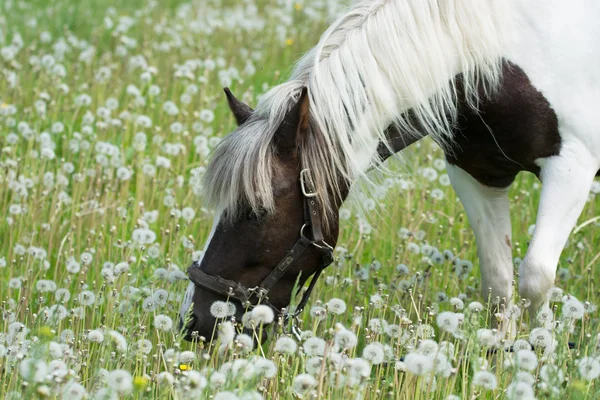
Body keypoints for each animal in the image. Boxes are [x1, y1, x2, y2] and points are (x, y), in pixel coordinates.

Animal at [180, 0, 600, 342]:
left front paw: (541, 358)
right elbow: (498, 282)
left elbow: (536, 278)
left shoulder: (571, 168)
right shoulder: (478, 173)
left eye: (256, 212)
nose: (196, 322)